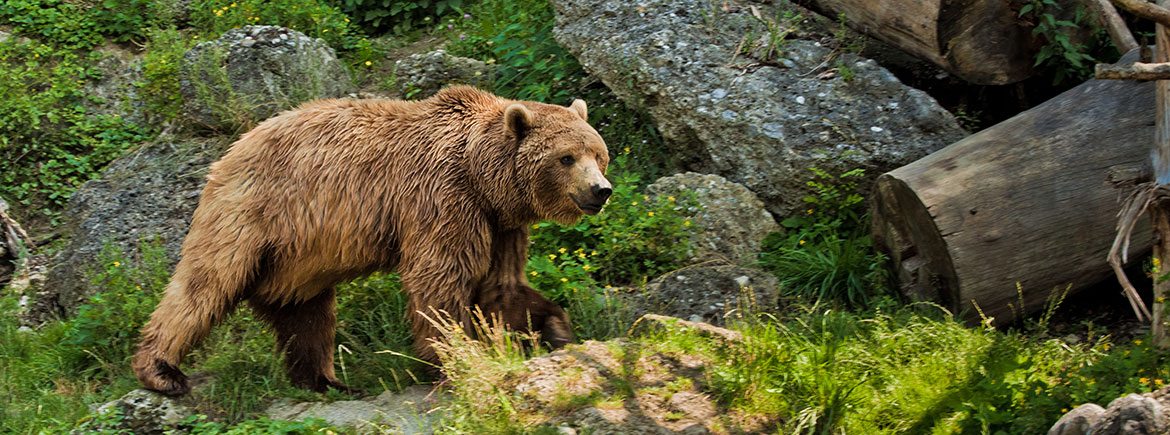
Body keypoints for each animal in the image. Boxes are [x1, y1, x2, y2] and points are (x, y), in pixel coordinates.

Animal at [131, 84, 613, 395]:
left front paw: (555, 328)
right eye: (566, 157)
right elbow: (439, 280)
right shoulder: (442, 200)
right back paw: (162, 371)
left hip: (296, 256)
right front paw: (458, 358)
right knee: (205, 283)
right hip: (253, 212)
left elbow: (501, 287)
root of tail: (230, 150)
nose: (601, 190)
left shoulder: (500, 225)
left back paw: (324, 380)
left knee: (304, 311)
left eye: (598, 153)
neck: (485, 178)